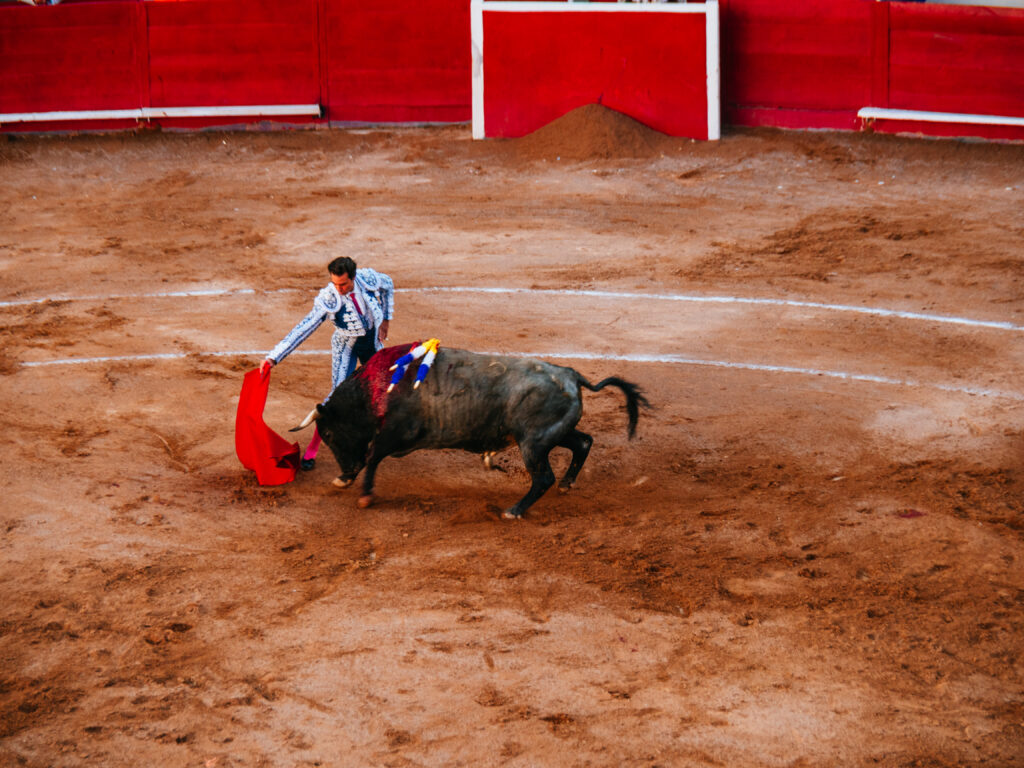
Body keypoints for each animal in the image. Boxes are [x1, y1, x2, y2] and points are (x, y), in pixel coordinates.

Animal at [294, 346, 647, 520]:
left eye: (328, 434)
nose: (345, 473)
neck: (377, 389)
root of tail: (572, 376)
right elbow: (374, 455)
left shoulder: (397, 433)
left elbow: (373, 455)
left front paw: (365, 494)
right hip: (551, 435)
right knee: (584, 442)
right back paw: (566, 484)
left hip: (533, 444)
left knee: (543, 477)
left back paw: (514, 511)